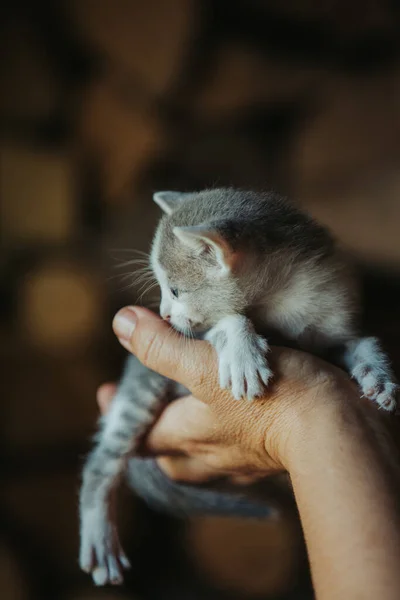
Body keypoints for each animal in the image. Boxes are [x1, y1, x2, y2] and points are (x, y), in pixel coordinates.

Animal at [79, 189, 398, 584]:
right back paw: (98, 533)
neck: (284, 301)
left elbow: (361, 342)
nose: (164, 316)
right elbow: (229, 320)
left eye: (175, 290)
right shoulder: (198, 333)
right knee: (100, 463)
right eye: (164, 290)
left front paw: (379, 376)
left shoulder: (330, 322)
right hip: (141, 388)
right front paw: (243, 352)